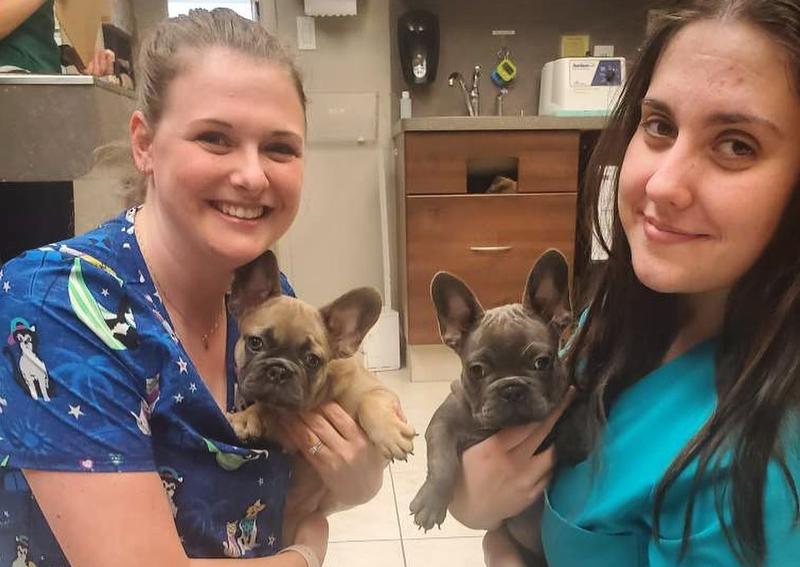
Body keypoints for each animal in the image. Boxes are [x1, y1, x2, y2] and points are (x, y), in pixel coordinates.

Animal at [412, 251, 588, 564]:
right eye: (477, 370)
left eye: (542, 362)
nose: (511, 389)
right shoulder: (444, 422)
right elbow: (442, 462)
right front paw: (431, 501)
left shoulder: (570, 388)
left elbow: (579, 401)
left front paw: (575, 437)